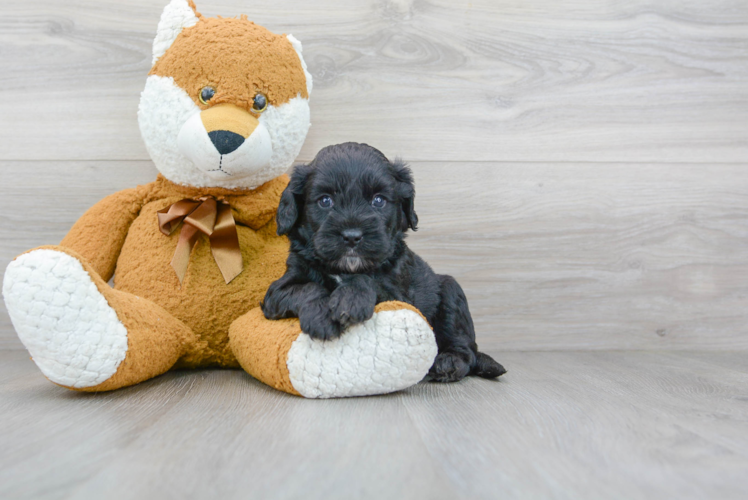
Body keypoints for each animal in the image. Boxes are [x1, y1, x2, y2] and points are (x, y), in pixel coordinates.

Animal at [260, 144, 506, 382]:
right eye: (325, 200)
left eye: (378, 200)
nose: (352, 236)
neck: (343, 268)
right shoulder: (275, 293)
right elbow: (307, 287)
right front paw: (321, 317)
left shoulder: (399, 294)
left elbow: (367, 280)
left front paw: (351, 299)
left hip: (451, 290)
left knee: (466, 348)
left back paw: (449, 363)